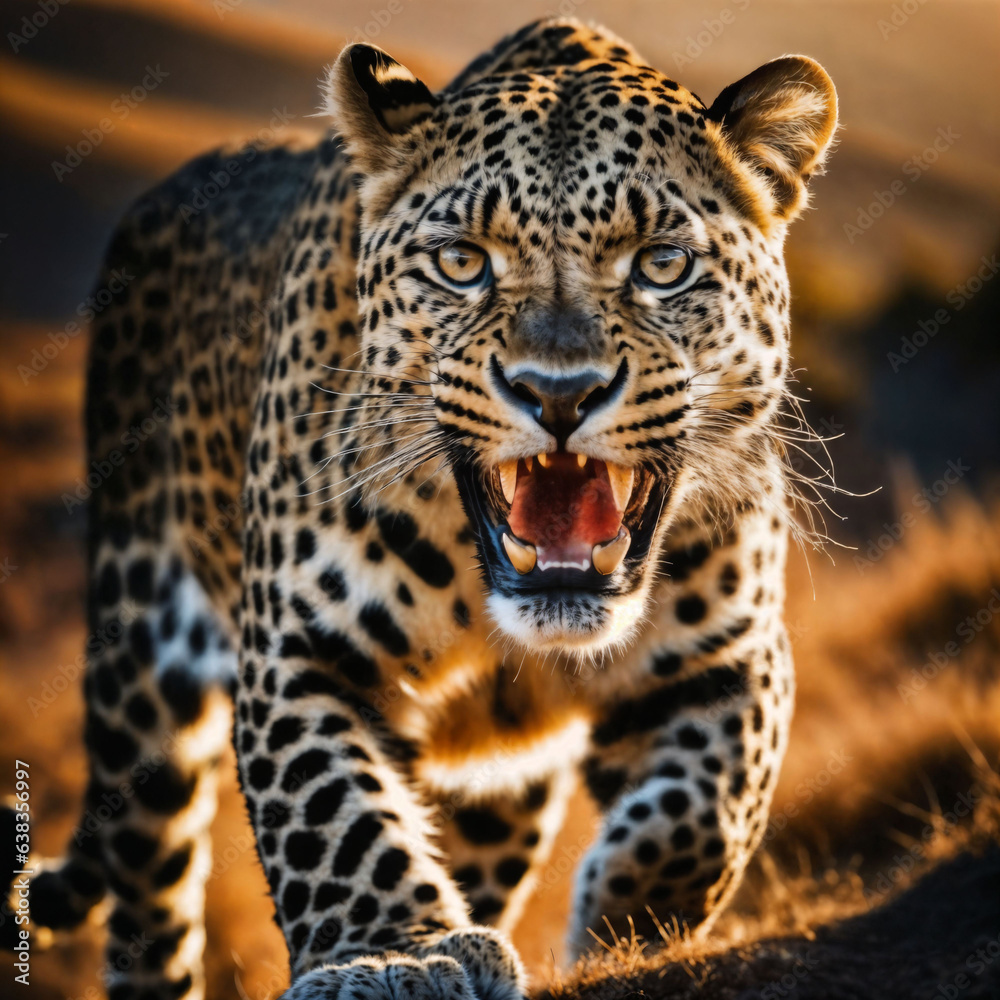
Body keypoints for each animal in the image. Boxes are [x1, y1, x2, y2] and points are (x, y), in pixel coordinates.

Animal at [4, 17, 838, 1000]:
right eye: (462, 263)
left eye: (663, 265)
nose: (559, 393)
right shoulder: (300, 648)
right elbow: (333, 815)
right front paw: (396, 951)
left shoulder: (731, 653)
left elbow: (708, 810)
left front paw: (630, 929)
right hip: (141, 667)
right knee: (149, 900)